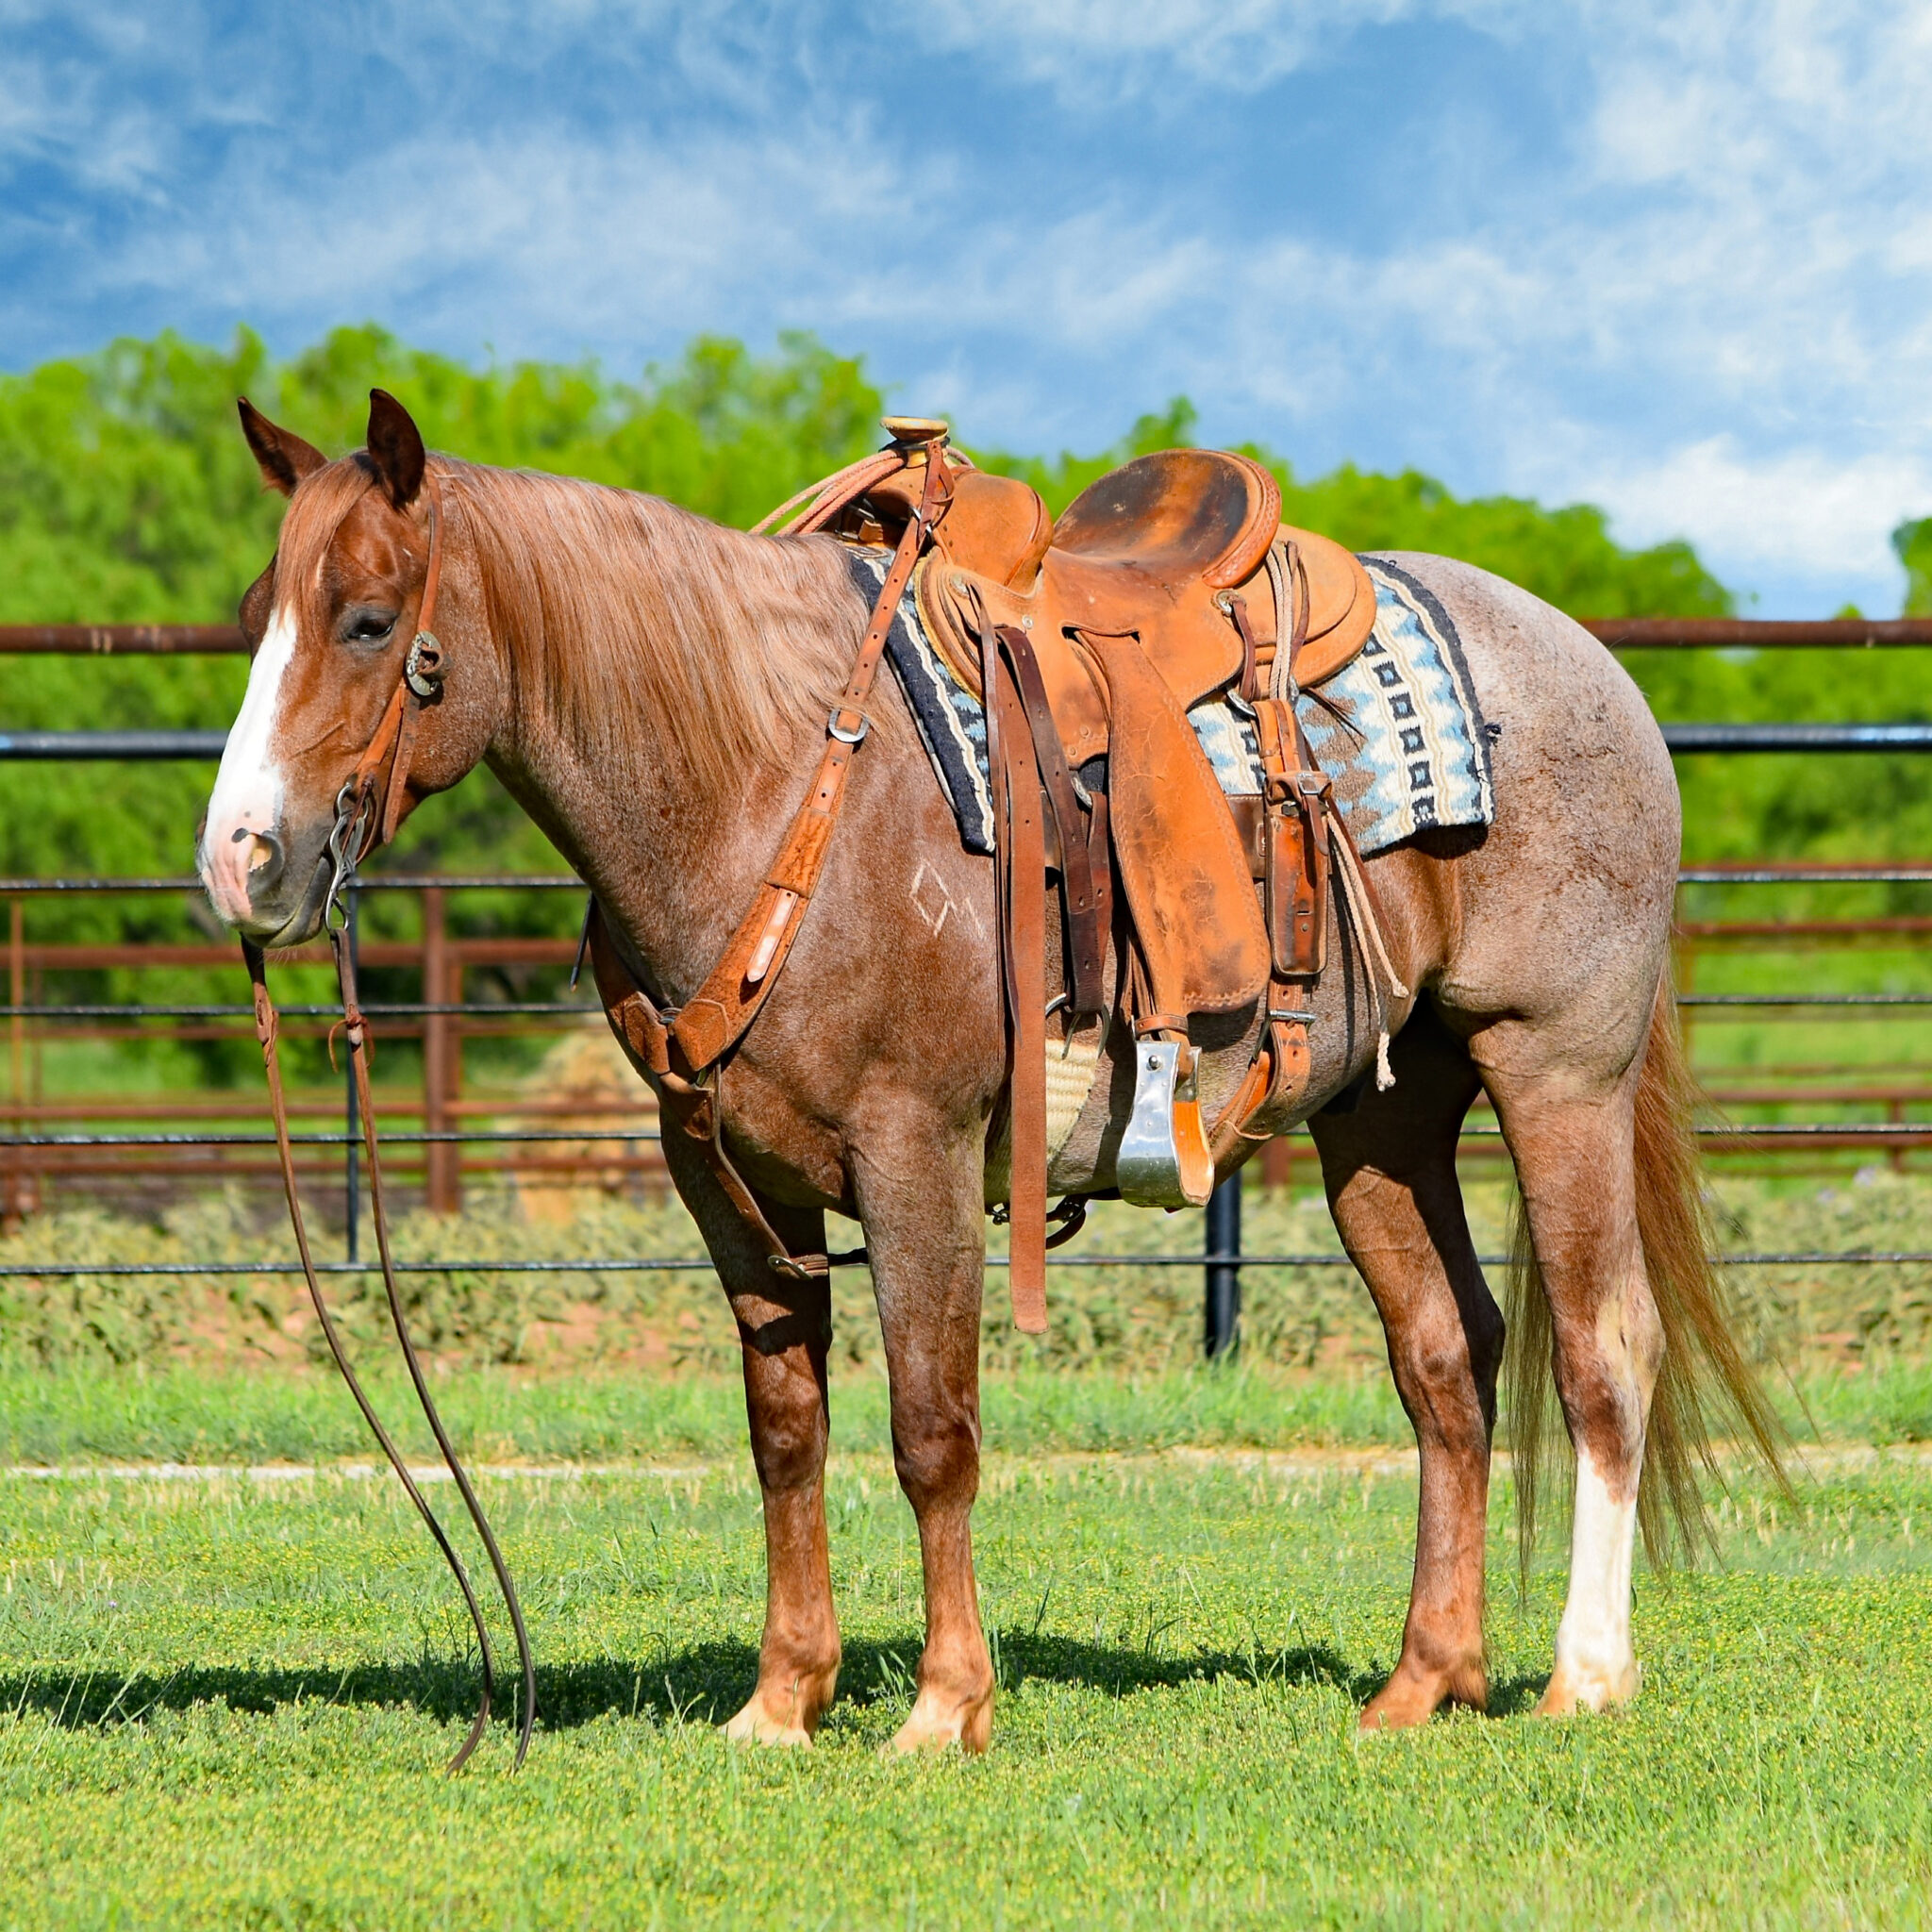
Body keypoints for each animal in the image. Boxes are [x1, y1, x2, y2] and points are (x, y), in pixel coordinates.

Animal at [199, 388, 1777, 1754]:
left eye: (370, 619)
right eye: (258, 616)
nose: (242, 863)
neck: (762, 776)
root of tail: (1595, 666)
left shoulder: (919, 1151)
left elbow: (929, 1429)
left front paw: (944, 1708)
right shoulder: (721, 1176)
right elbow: (786, 1432)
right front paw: (782, 1703)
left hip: (1558, 1072)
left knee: (1602, 1348)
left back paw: (1584, 1675)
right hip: (1383, 1117)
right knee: (1447, 1360)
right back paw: (1423, 1682)